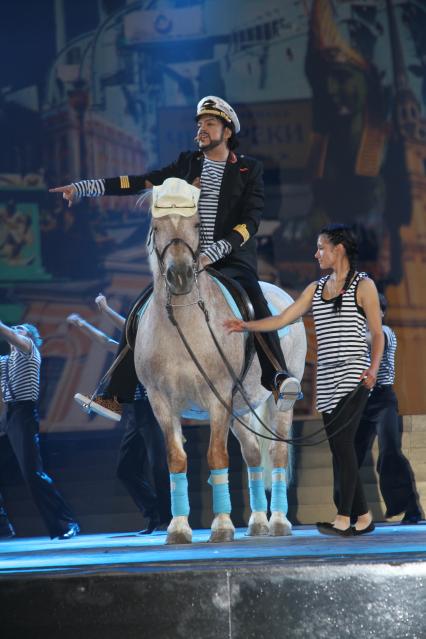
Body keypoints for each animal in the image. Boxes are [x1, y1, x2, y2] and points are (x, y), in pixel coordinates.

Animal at [134, 208, 306, 544]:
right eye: (156, 227)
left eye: (197, 224)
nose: (180, 275)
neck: (184, 321)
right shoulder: (161, 402)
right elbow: (176, 458)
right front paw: (178, 528)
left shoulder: (218, 398)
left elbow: (216, 456)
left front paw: (222, 526)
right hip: (241, 409)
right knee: (253, 455)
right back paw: (258, 522)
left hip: (281, 402)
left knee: (277, 453)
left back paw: (279, 521)